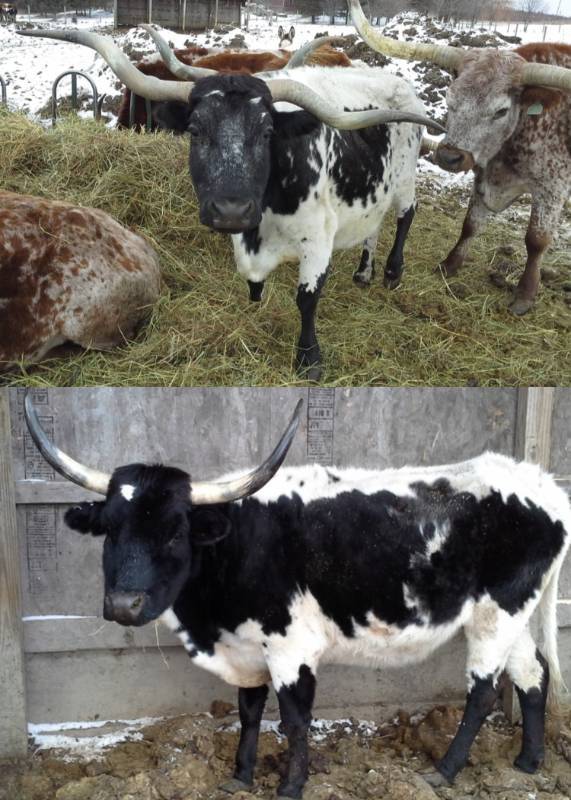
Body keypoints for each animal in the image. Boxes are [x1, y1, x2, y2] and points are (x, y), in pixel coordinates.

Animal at [19, 28, 443, 381]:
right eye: (195, 129)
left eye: (268, 132)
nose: (231, 211)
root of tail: (396, 81)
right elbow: (253, 281)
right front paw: (255, 302)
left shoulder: (318, 239)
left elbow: (307, 300)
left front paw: (309, 359)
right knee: (374, 226)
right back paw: (363, 272)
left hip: (405, 180)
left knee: (406, 215)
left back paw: (391, 272)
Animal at [25, 393, 571, 800]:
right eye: (110, 531)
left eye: (175, 533)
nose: (123, 606)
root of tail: (540, 482)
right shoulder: (247, 648)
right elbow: (248, 710)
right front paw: (240, 776)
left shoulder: (291, 647)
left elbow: (293, 719)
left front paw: (290, 786)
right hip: (511, 616)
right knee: (532, 676)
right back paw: (528, 761)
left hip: (496, 615)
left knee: (483, 691)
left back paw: (446, 769)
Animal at [348, 0, 571, 316]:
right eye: (449, 99)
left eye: (501, 110)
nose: (450, 157)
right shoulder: (484, 175)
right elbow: (471, 224)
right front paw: (449, 264)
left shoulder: (552, 186)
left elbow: (536, 240)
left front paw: (525, 294)